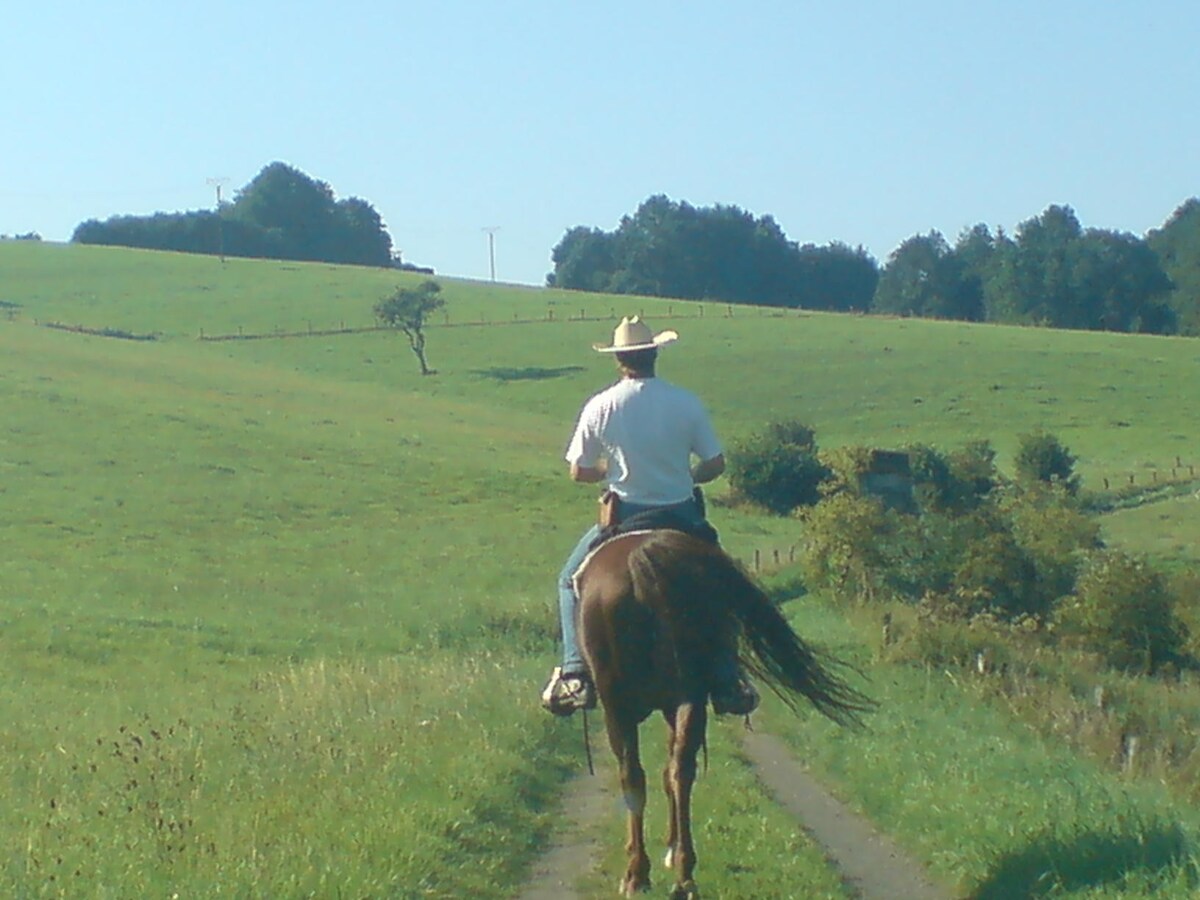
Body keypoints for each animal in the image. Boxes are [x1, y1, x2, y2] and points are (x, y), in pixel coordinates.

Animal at [573, 532, 868, 897]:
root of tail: (643, 557)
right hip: (683, 697)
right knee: (677, 771)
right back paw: (681, 875)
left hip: (623, 704)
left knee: (638, 775)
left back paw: (640, 873)